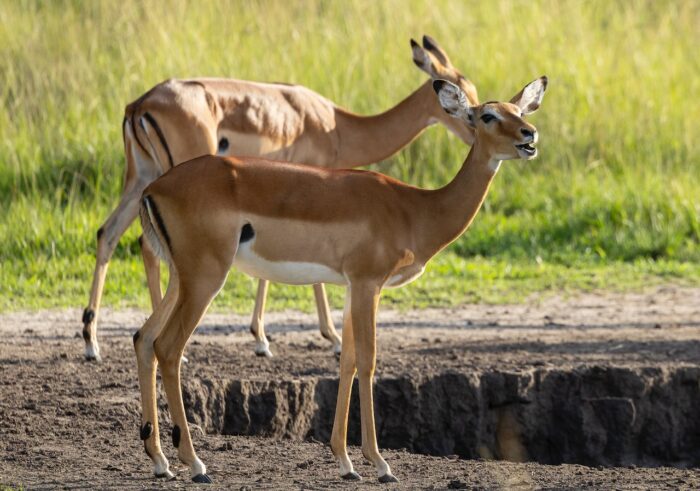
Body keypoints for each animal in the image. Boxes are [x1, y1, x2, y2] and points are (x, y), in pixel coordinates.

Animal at [81, 35, 478, 361]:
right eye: (459, 100)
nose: (479, 132)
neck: (337, 124)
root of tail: (138, 105)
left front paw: (262, 337)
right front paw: (326, 339)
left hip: (141, 179)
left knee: (109, 234)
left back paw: (91, 342)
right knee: (147, 249)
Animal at [133, 75, 548, 483]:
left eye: (519, 111)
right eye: (487, 115)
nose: (529, 135)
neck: (415, 210)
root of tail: (154, 189)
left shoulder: (351, 288)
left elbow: (345, 361)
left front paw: (346, 462)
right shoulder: (368, 284)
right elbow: (367, 361)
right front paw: (380, 464)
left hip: (181, 278)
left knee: (144, 338)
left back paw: (160, 461)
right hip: (205, 278)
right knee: (169, 348)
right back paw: (195, 464)